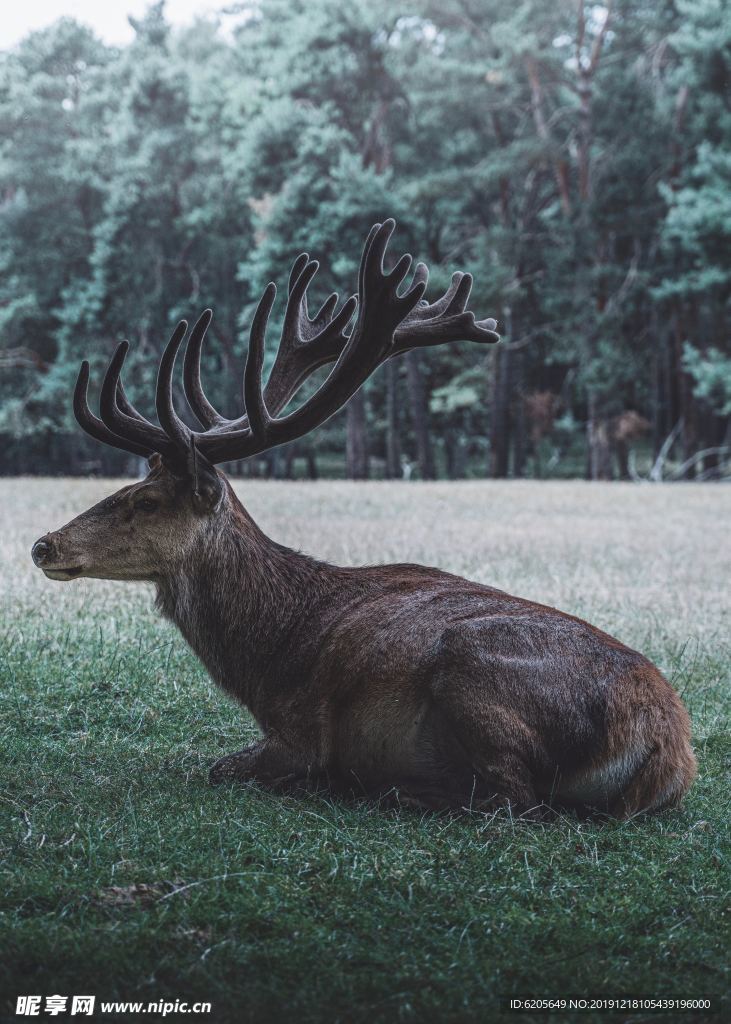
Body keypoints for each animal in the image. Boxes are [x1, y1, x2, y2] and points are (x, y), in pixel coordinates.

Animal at [31, 222, 692, 815]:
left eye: (145, 501)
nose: (44, 545)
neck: (268, 653)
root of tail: (667, 747)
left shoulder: (300, 733)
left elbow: (220, 766)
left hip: (470, 668)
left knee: (516, 800)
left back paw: (395, 791)